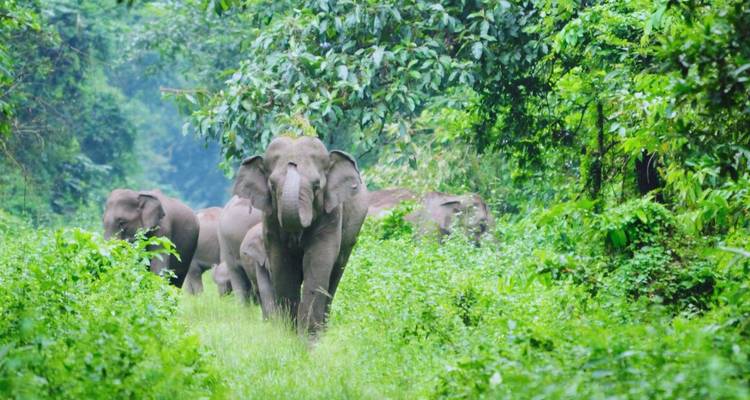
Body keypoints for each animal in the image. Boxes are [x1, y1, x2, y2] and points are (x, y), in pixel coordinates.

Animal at [233, 136, 368, 335]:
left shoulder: (332, 214)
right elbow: (283, 266)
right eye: (272, 185)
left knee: (335, 275)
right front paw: (289, 335)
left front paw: (309, 338)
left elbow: (318, 263)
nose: (292, 163)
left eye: (317, 186)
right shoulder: (270, 220)